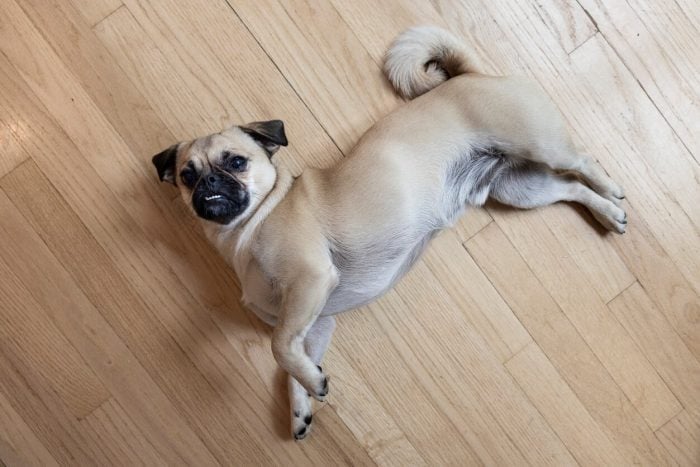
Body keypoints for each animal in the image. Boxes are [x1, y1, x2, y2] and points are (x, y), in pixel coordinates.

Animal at [150, 25, 628, 440]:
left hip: (540, 146)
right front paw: (302, 403)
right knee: (569, 189)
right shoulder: (314, 324)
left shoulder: (309, 282)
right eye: (187, 176)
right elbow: (290, 363)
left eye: (236, 162)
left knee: (584, 163)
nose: (209, 183)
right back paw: (608, 213)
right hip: (520, 188)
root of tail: (469, 75)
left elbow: (279, 348)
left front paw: (312, 384)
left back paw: (612, 190)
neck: (251, 224)